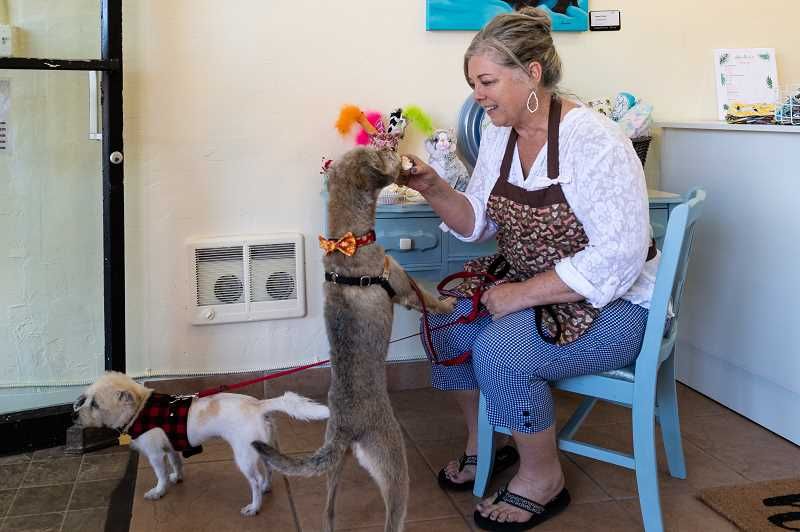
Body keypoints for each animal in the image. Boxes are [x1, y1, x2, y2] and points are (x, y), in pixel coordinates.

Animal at [72, 370, 328, 516]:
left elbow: (160, 475)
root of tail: (259, 405)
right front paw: (177, 478)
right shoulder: (171, 448)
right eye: (85, 400)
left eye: (94, 404)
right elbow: (176, 464)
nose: (74, 415)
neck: (141, 409)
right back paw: (266, 487)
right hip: (261, 448)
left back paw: (254, 506)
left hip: (244, 457)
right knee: (268, 471)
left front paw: (159, 491)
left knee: (254, 481)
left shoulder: (155, 455)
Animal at [253, 147, 454, 532]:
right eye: (384, 153)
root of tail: (348, 427)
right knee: (393, 518)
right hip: (394, 464)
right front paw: (447, 303)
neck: (348, 240)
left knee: (327, 511)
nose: (395, 147)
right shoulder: (403, 287)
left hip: (336, 464)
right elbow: (426, 297)